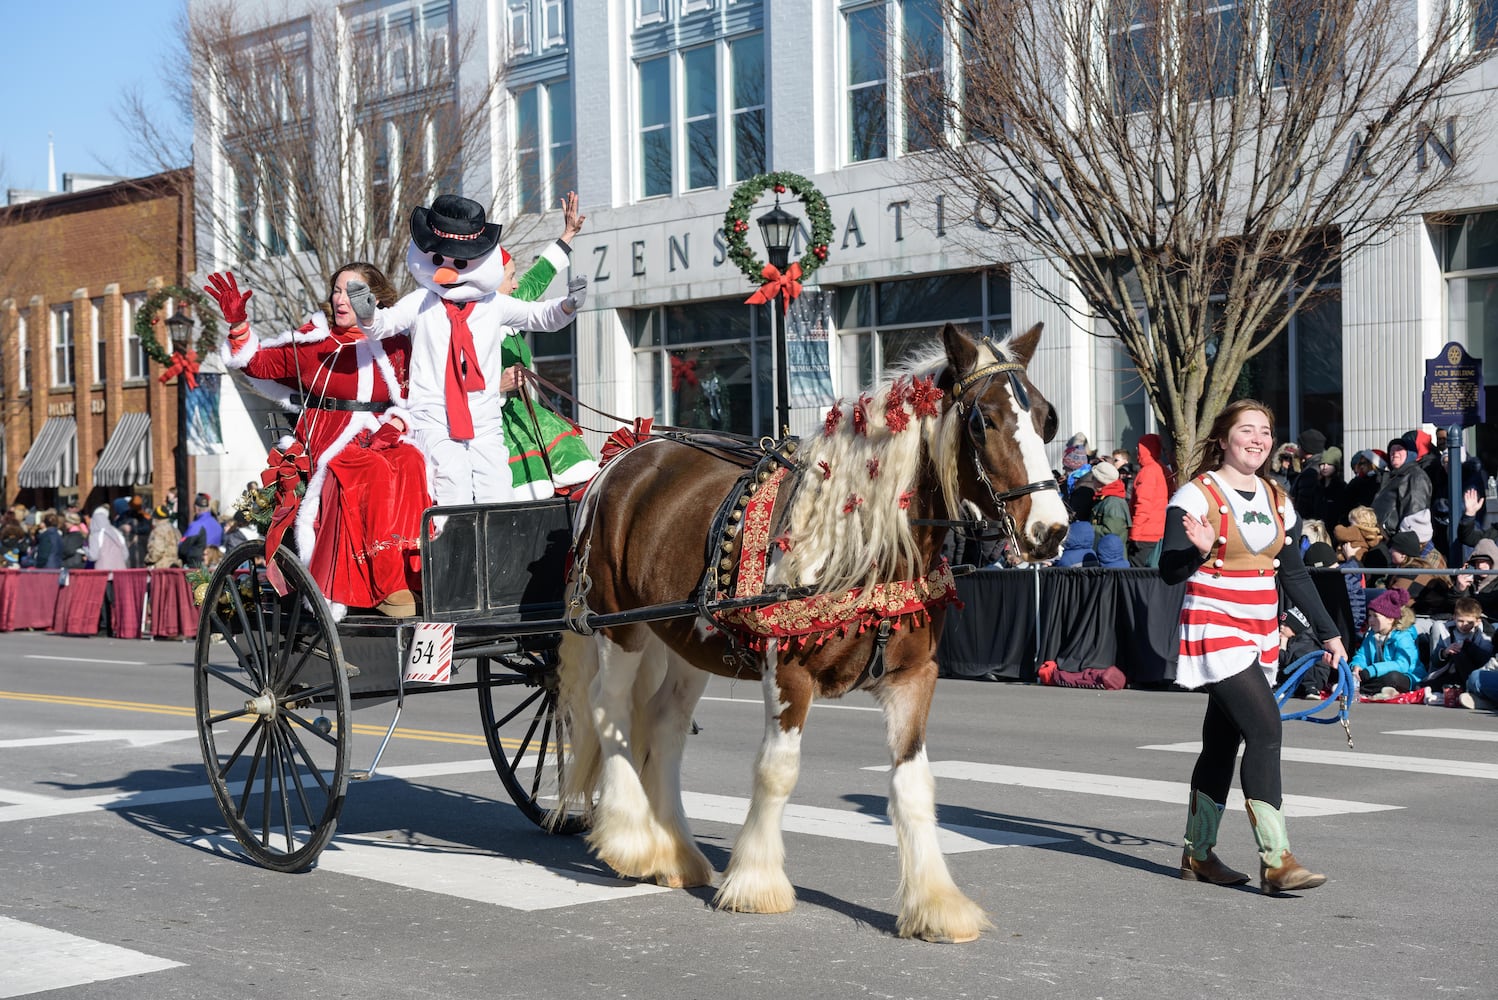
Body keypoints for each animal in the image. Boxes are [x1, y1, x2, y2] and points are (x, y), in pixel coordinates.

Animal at [560, 324, 1066, 940]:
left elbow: (913, 786)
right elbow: (777, 771)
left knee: (663, 723)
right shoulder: (790, 673)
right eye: (982, 422)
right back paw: (633, 840)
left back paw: (675, 852)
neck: (870, 546)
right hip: (620, 627)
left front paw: (936, 903)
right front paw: (756, 883)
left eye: (1045, 418)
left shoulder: (913, 677)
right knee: (607, 709)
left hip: (685, 639)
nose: (1052, 530)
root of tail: (625, 456)